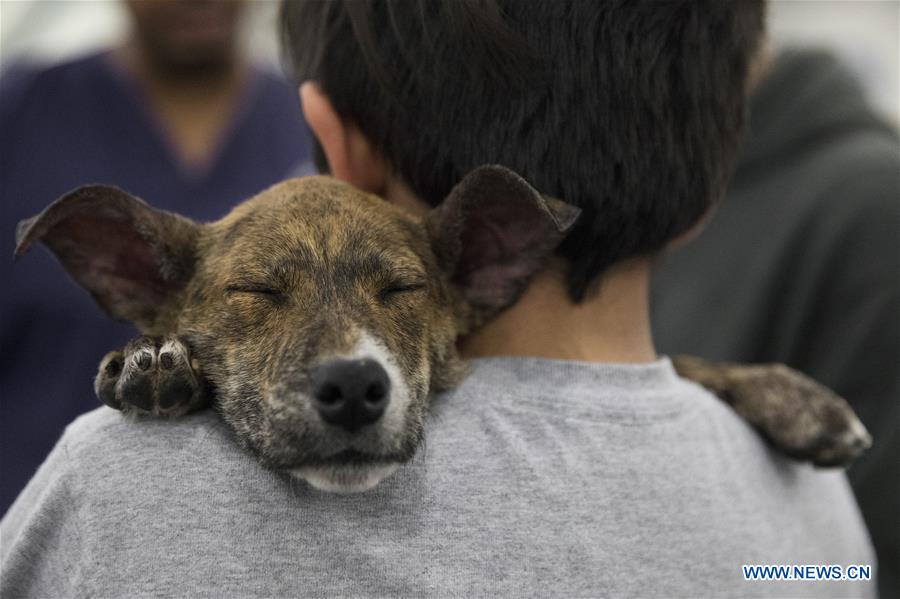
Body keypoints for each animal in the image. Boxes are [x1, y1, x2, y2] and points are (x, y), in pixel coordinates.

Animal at [15, 164, 872, 492]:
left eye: (402, 287)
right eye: (256, 289)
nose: (353, 387)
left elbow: (695, 360)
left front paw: (802, 401)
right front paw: (154, 359)